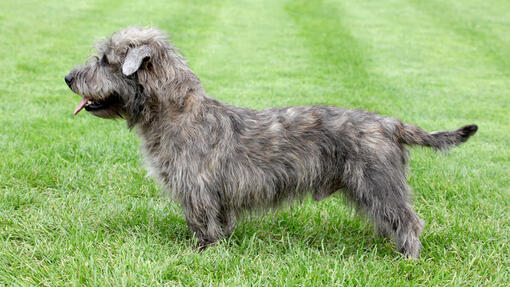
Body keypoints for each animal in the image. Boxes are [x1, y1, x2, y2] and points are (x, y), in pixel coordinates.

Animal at [64, 27, 478, 260]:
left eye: (105, 60)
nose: (68, 78)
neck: (176, 112)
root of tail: (390, 123)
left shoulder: (196, 188)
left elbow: (202, 222)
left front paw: (203, 254)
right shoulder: (213, 194)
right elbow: (219, 221)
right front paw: (219, 246)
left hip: (378, 182)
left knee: (409, 219)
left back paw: (408, 258)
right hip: (370, 188)